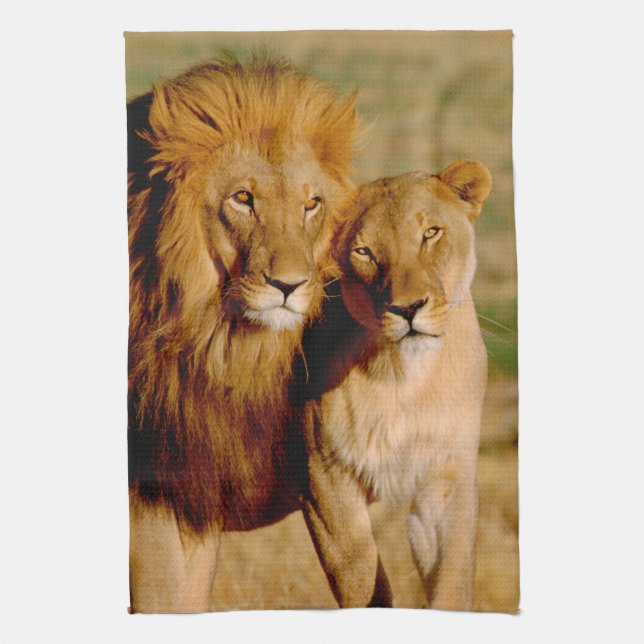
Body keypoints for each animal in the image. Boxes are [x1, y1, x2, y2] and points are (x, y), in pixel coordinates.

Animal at [297, 160, 492, 609]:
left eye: (430, 233)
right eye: (364, 252)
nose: (407, 308)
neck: (404, 379)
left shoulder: (449, 473)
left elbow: (453, 583)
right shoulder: (324, 480)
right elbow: (362, 582)